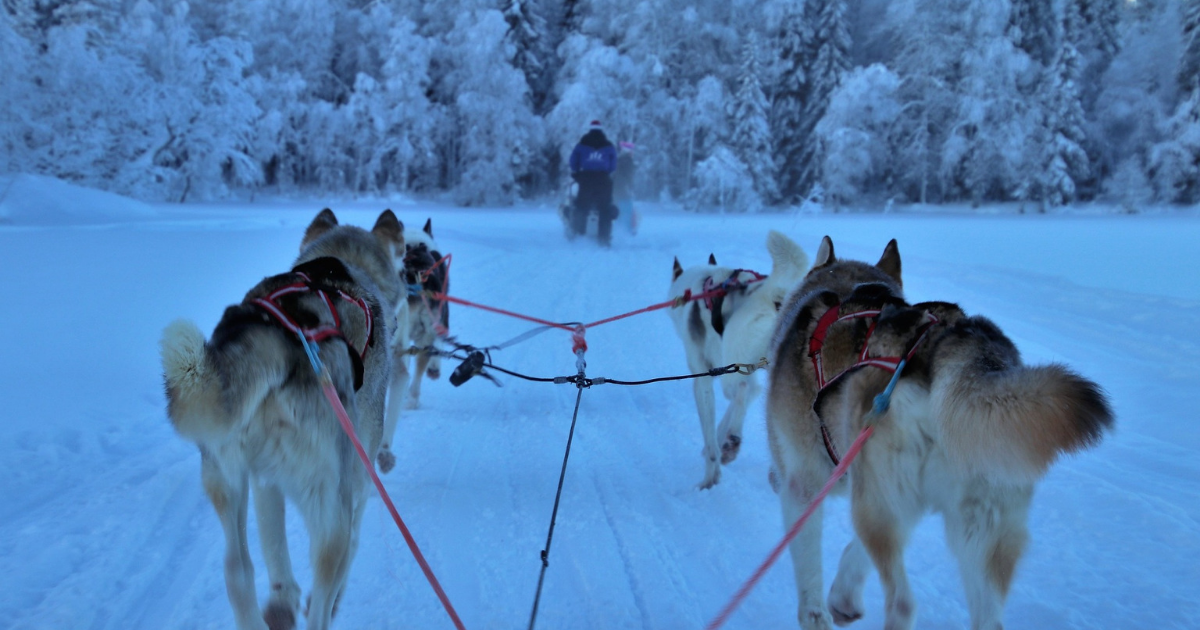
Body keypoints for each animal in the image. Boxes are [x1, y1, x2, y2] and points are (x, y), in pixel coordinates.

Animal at [159, 207, 405, 628]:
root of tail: (277, 336)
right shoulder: (358, 482)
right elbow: (352, 548)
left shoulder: (264, 482)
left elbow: (272, 546)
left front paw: (281, 599)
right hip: (330, 506)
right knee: (323, 591)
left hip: (225, 477)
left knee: (238, 571)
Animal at [667, 228, 806, 489]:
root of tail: (775, 295)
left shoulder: (705, 377)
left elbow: (711, 433)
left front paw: (710, 476)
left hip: (734, 365)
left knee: (741, 389)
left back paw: (733, 442)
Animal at [763, 235, 1108, 628]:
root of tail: (949, 348)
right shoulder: (893, 502)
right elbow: (856, 553)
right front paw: (843, 594)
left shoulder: (805, 489)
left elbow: (810, 578)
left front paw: (819, 611)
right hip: (974, 526)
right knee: (988, 618)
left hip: (877, 507)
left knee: (902, 603)